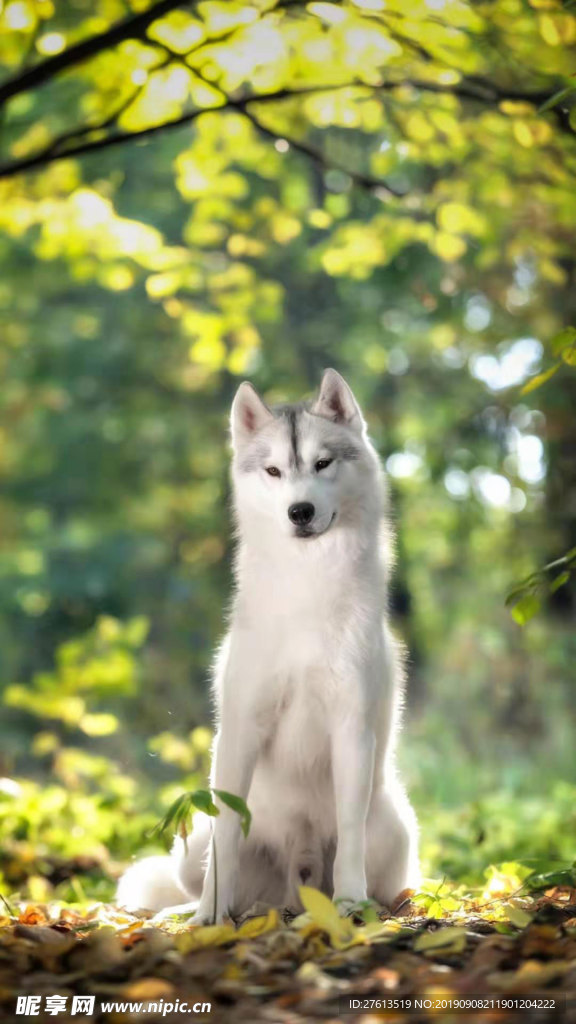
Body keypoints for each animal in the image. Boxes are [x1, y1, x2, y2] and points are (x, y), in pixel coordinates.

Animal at [118, 372, 420, 925]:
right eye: (275, 470)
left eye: (323, 463)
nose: (300, 511)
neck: (307, 587)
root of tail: (294, 894)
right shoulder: (241, 728)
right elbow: (227, 838)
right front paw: (209, 918)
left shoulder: (352, 729)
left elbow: (349, 832)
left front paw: (349, 904)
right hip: (192, 845)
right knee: (218, 877)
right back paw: (191, 911)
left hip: (394, 827)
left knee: (387, 878)